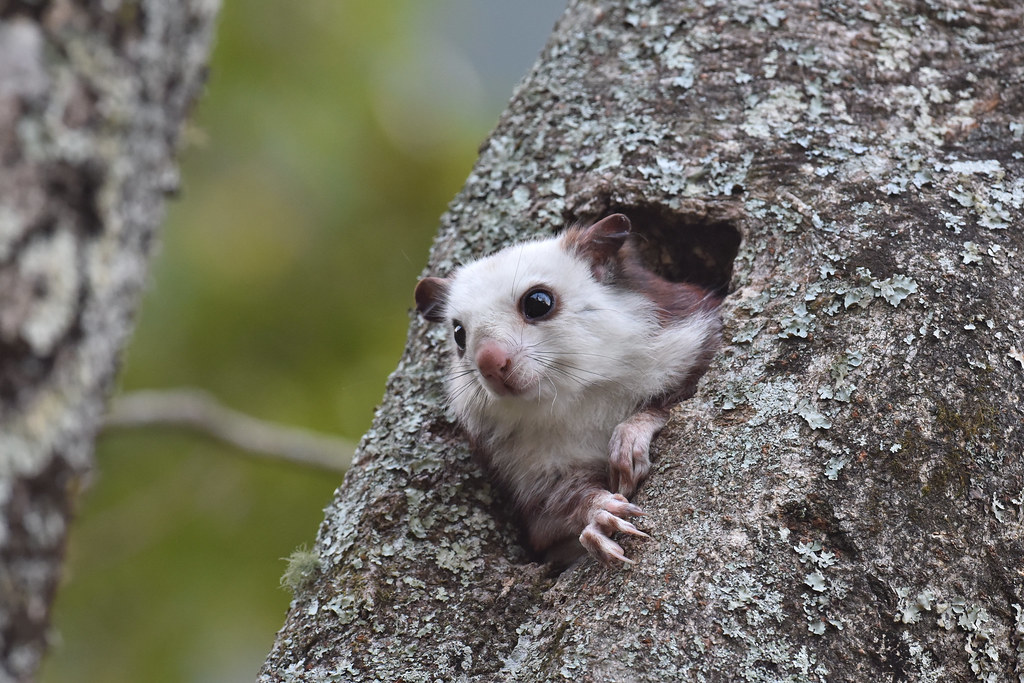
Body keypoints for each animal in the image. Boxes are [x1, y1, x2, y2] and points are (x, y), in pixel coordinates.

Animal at [413, 215, 720, 565]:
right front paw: (598, 513)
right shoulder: (530, 473)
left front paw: (630, 436)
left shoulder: (695, 339)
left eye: (538, 302)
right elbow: (555, 511)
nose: (489, 363)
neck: (577, 397)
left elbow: (676, 400)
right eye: (458, 334)